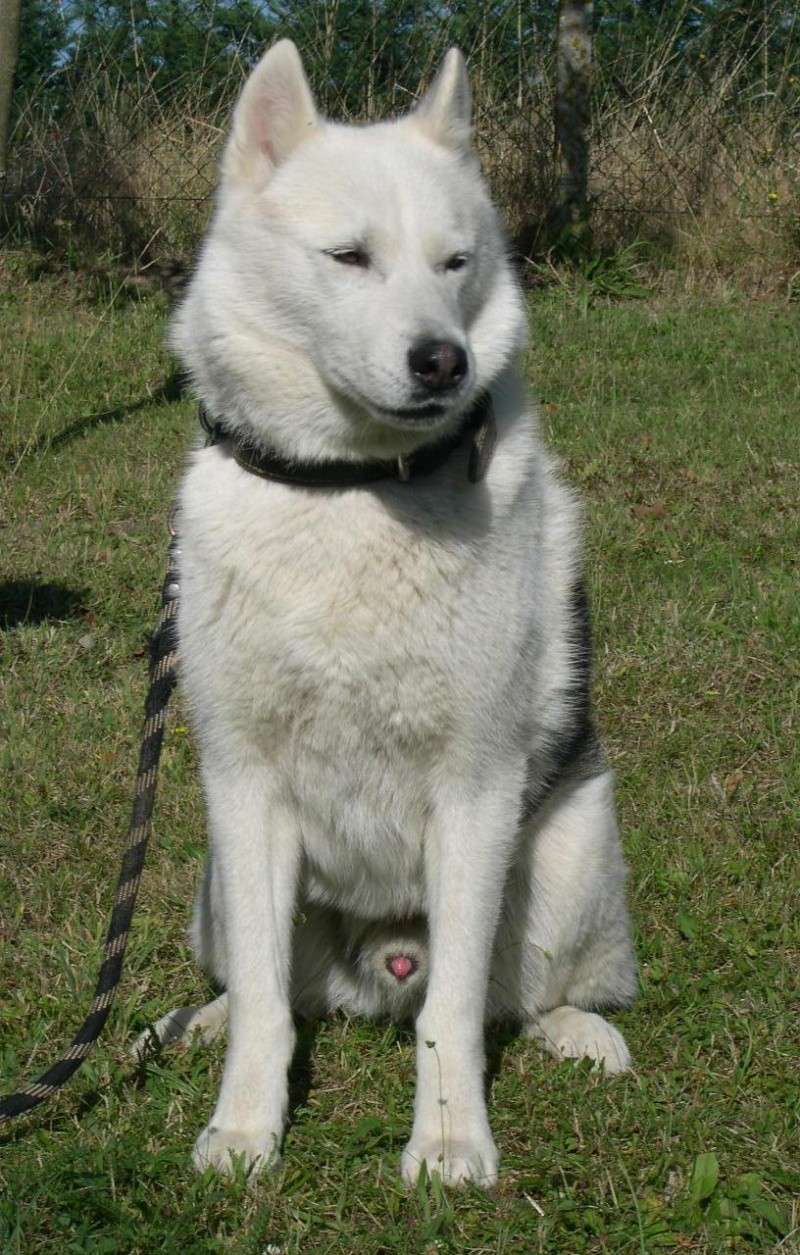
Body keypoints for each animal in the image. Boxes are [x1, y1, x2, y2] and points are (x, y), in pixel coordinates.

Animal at [141, 41, 635, 1184]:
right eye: (349, 257)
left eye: (454, 263)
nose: (443, 360)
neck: (348, 490)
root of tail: (379, 959)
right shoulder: (242, 786)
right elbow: (266, 1009)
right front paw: (245, 1129)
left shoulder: (474, 791)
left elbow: (451, 1017)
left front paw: (450, 1140)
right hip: (216, 885)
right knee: (269, 987)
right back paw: (193, 1020)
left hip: (570, 854)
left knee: (524, 997)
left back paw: (583, 1031)